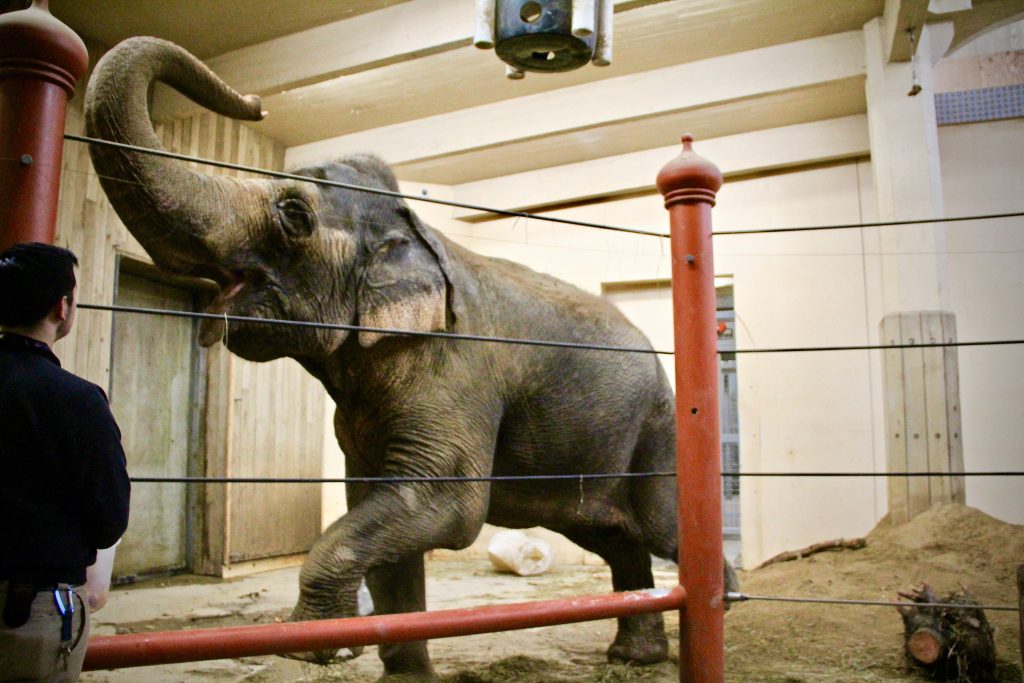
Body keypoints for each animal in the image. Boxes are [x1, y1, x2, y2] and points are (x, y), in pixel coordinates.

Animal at [83, 38, 733, 683]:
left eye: (293, 215)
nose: (255, 102)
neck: (409, 227)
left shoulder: (456, 370)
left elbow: (444, 504)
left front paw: (315, 648)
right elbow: (379, 503)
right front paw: (400, 674)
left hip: (658, 430)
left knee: (665, 529)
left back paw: (719, 606)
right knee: (614, 536)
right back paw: (635, 657)